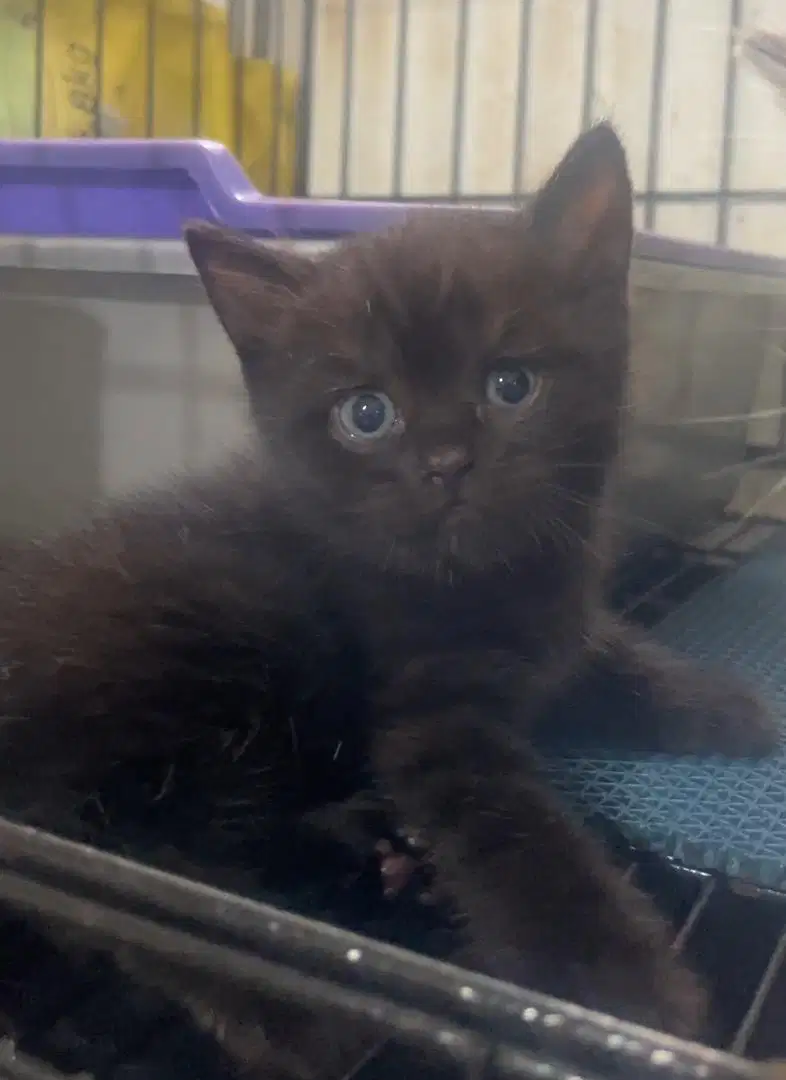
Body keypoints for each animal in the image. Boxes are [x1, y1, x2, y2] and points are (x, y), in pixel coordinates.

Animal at [0, 124, 777, 1062]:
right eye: (366, 415)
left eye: (511, 384)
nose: (445, 463)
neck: (479, 581)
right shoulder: (430, 721)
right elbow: (513, 833)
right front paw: (620, 978)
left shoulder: (549, 627)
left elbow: (605, 657)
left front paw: (725, 707)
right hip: (203, 629)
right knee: (101, 860)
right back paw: (275, 995)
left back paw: (372, 853)